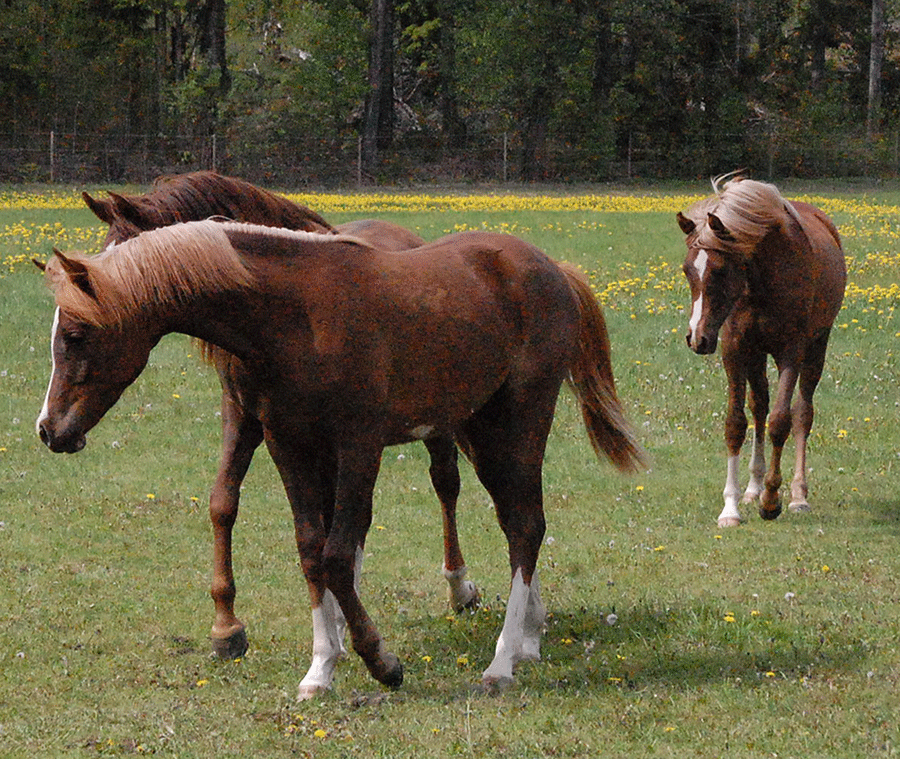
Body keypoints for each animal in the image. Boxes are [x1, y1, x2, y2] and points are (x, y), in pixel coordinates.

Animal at [33, 221, 640, 700]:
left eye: (77, 333)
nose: (50, 430)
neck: (296, 317)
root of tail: (553, 269)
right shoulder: (287, 444)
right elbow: (310, 550)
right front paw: (321, 668)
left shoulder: (357, 445)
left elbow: (339, 554)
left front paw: (382, 662)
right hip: (479, 428)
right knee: (516, 520)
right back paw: (530, 638)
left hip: (522, 420)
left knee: (525, 526)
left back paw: (501, 662)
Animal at [680, 174, 848, 528]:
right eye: (687, 270)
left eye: (720, 270)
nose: (697, 338)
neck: (761, 280)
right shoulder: (734, 349)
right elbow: (736, 423)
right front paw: (731, 507)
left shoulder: (791, 352)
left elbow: (781, 421)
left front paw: (772, 500)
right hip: (756, 357)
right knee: (759, 407)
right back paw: (752, 488)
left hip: (817, 348)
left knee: (802, 414)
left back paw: (797, 495)